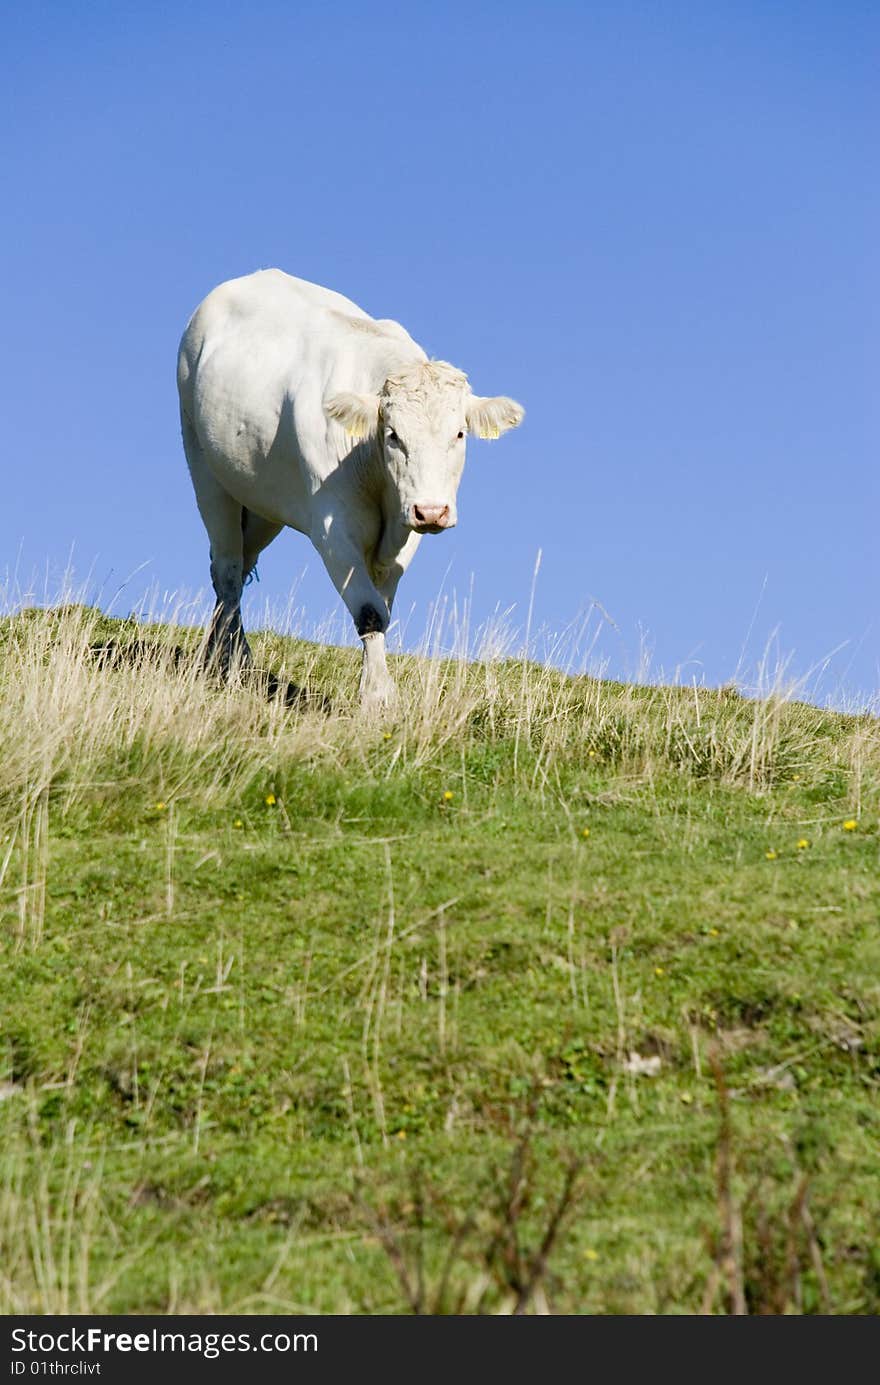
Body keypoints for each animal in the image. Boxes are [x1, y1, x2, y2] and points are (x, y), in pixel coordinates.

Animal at [175, 268, 526, 703]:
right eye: (392, 434)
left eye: (460, 433)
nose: (431, 511)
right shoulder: (333, 528)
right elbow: (369, 611)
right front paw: (378, 697)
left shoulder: (404, 536)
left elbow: (383, 607)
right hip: (205, 467)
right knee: (226, 568)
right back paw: (228, 661)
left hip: (260, 498)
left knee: (240, 566)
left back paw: (223, 655)